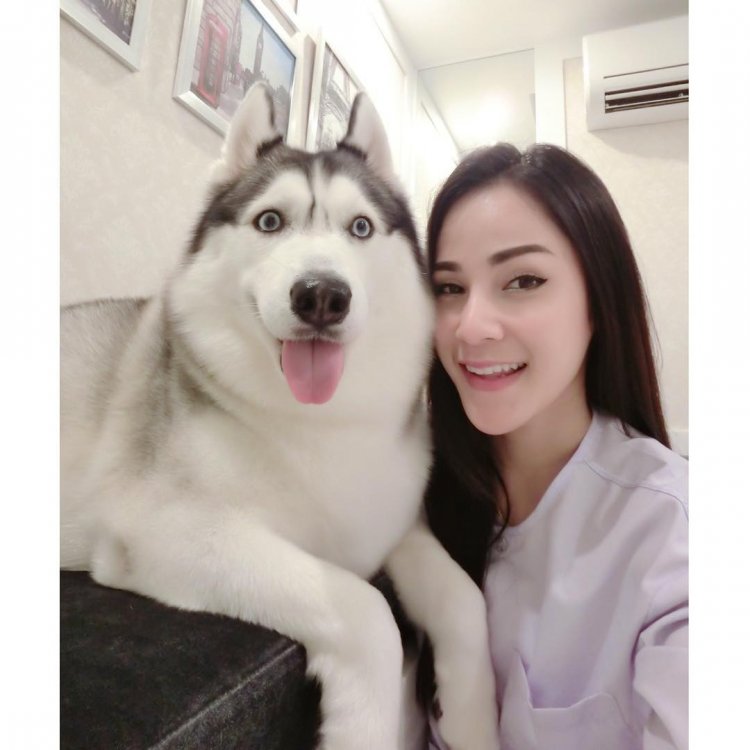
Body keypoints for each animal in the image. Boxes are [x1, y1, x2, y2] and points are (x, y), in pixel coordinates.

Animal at [60, 83, 499, 750]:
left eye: (361, 227)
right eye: (270, 220)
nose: (322, 295)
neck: (320, 428)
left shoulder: (394, 526)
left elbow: (469, 604)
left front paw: (474, 721)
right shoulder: (169, 530)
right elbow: (368, 611)